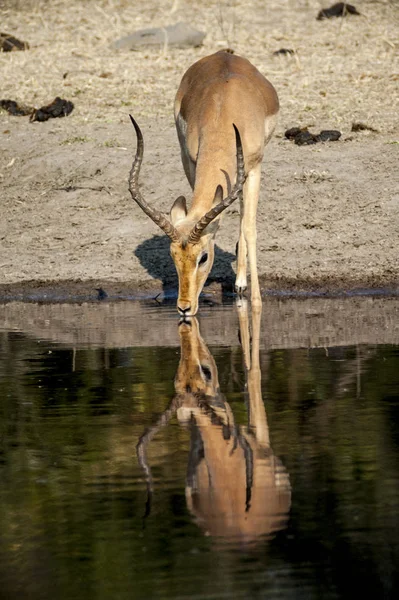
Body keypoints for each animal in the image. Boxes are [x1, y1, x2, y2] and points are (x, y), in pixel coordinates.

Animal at [130, 49, 280, 316]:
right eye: (173, 256)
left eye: (204, 257)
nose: (184, 307)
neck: (224, 112)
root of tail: (223, 54)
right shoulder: (191, 161)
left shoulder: (254, 167)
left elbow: (249, 227)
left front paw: (256, 302)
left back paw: (241, 282)